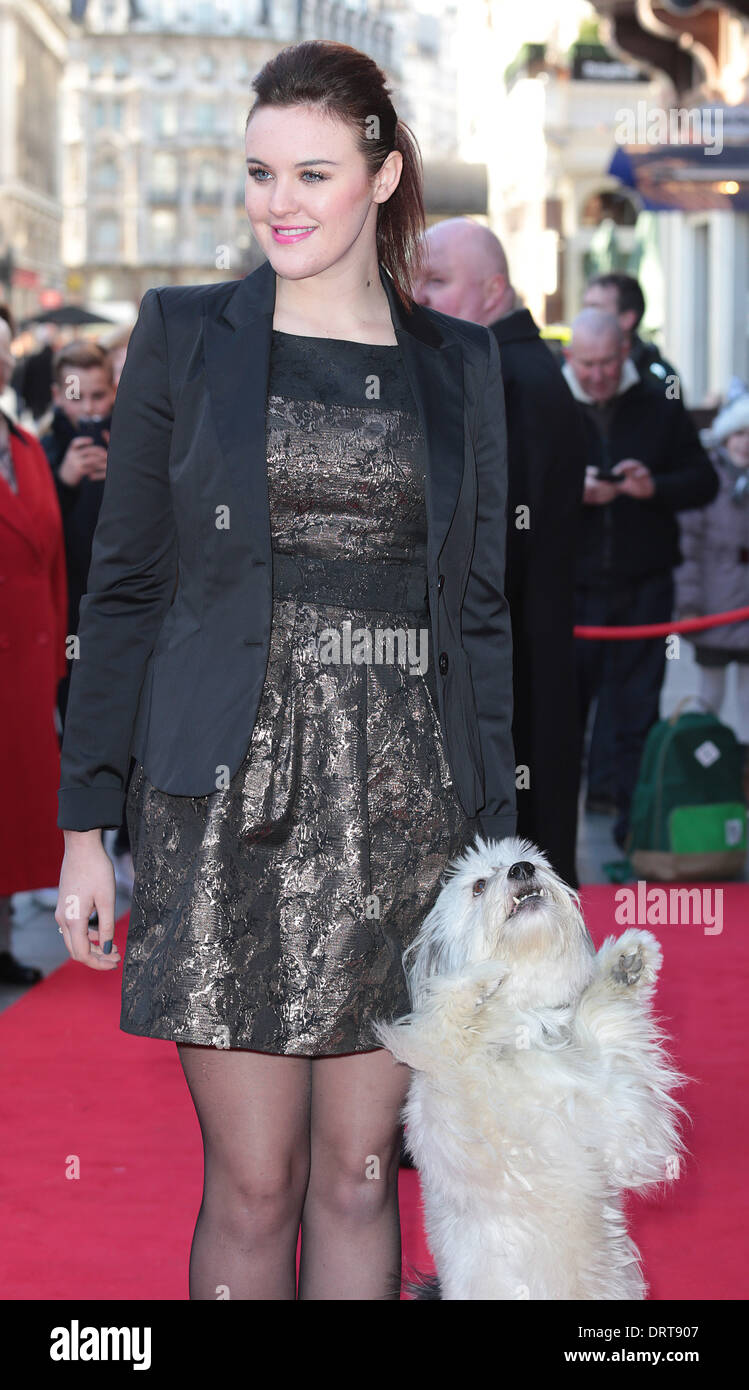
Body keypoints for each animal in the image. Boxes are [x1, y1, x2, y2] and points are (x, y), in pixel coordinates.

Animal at [375, 834, 692, 1301]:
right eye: (479, 886)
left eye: (531, 861)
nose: (522, 870)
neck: (522, 1037)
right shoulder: (463, 1130)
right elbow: (446, 1039)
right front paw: (474, 983)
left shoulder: (620, 1120)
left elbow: (607, 1024)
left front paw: (623, 968)